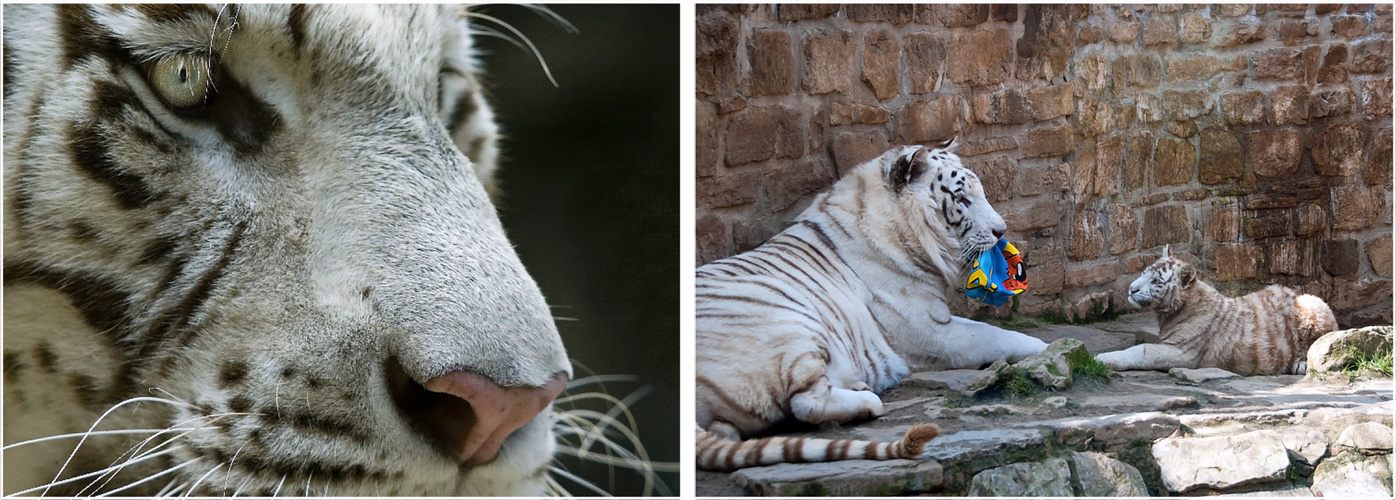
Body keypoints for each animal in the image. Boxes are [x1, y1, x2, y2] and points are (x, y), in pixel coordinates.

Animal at [698, 141, 1049, 472]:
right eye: (962, 199)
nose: (1001, 230)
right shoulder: (931, 332)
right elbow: (996, 335)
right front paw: (1045, 347)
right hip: (789, 322)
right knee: (806, 402)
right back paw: (867, 399)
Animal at [1088, 245, 1340, 374]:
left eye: (1156, 281)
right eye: (1144, 272)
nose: (1131, 289)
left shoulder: (1183, 351)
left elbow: (1142, 350)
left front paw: (1101, 358)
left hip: (1314, 305)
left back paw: (1300, 364)